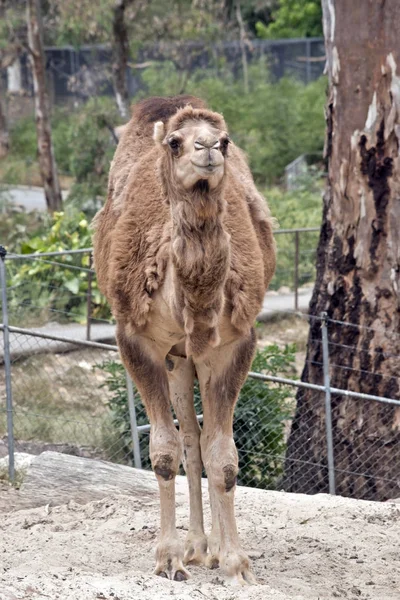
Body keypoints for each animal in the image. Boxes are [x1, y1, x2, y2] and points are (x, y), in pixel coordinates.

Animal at [92, 95, 276, 584]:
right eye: (175, 142)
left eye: (225, 141)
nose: (208, 147)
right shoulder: (137, 341)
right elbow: (162, 452)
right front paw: (169, 558)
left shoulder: (233, 344)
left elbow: (225, 457)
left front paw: (235, 562)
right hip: (176, 358)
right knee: (188, 438)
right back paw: (194, 546)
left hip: (191, 356)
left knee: (201, 437)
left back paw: (207, 549)